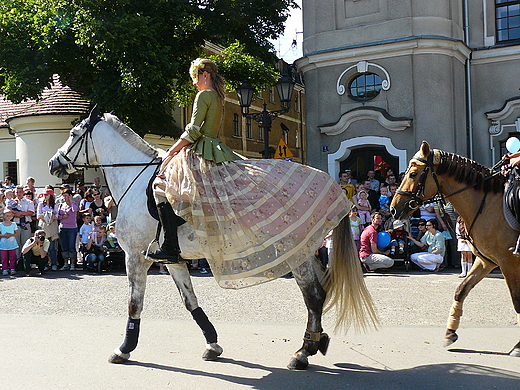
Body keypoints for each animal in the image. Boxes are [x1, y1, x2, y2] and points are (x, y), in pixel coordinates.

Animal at [47, 108, 378, 370]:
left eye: (74, 133)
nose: (53, 163)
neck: (136, 179)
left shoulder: (135, 256)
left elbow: (134, 304)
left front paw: (124, 349)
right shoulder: (172, 259)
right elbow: (190, 301)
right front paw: (213, 344)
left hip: (295, 251)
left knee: (314, 295)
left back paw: (302, 353)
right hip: (303, 249)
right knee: (321, 292)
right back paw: (316, 342)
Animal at [390, 141, 520, 356]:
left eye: (413, 174)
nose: (393, 208)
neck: (488, 205)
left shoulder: (508, 263)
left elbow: (517, 301)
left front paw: (518, 346)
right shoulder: (486, 261)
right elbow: (461, 290)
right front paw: (450, 332)